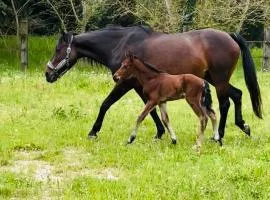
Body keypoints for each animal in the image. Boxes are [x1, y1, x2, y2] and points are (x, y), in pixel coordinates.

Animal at [44, 25, 262, 144]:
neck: (120, 44)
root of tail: (229, 36)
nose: (47, 74)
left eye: (58, 49)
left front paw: (93, 131)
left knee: (225, 103)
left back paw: (219, 136)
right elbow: (152, 110)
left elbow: (106, 104)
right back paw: (243, 127)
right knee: (237, 95)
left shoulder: (125, 83)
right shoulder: (142, 86)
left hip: (219, 80)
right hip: (214, 80)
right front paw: (160, 133)